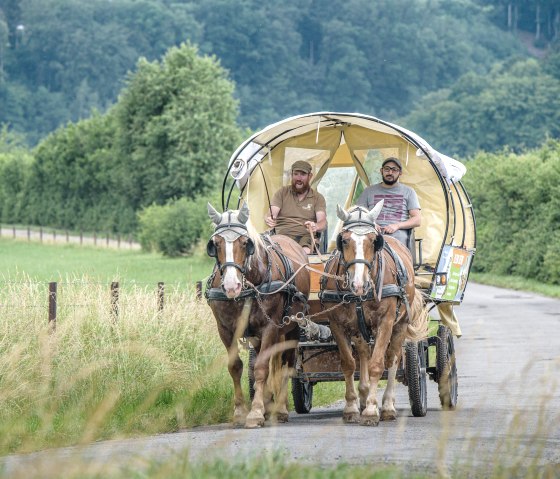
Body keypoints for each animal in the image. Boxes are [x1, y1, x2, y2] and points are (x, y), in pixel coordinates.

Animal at [206, 204, 310, 430]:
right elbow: (236, 367)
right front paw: (240, 412)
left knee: (287, 363)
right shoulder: (225, 330)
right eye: (215, 244)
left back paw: (280, 409)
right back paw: (269, 404)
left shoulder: (270, 327)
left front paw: (254, 413)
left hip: (293, 327)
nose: (231, 286)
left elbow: (262, 368)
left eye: (245, 243)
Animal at [320, 202, 424, 428]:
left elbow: (378, 365)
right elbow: (349, 364)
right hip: (361, 330)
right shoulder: (336, 324)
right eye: (344, 240)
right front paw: (352, 408)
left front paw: (370, 411)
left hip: (400, 324)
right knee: (363, 353)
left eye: (373, 241)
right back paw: (364, 394)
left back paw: (387, 406)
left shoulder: (386, 322)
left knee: (393, 359)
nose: (359, 284)